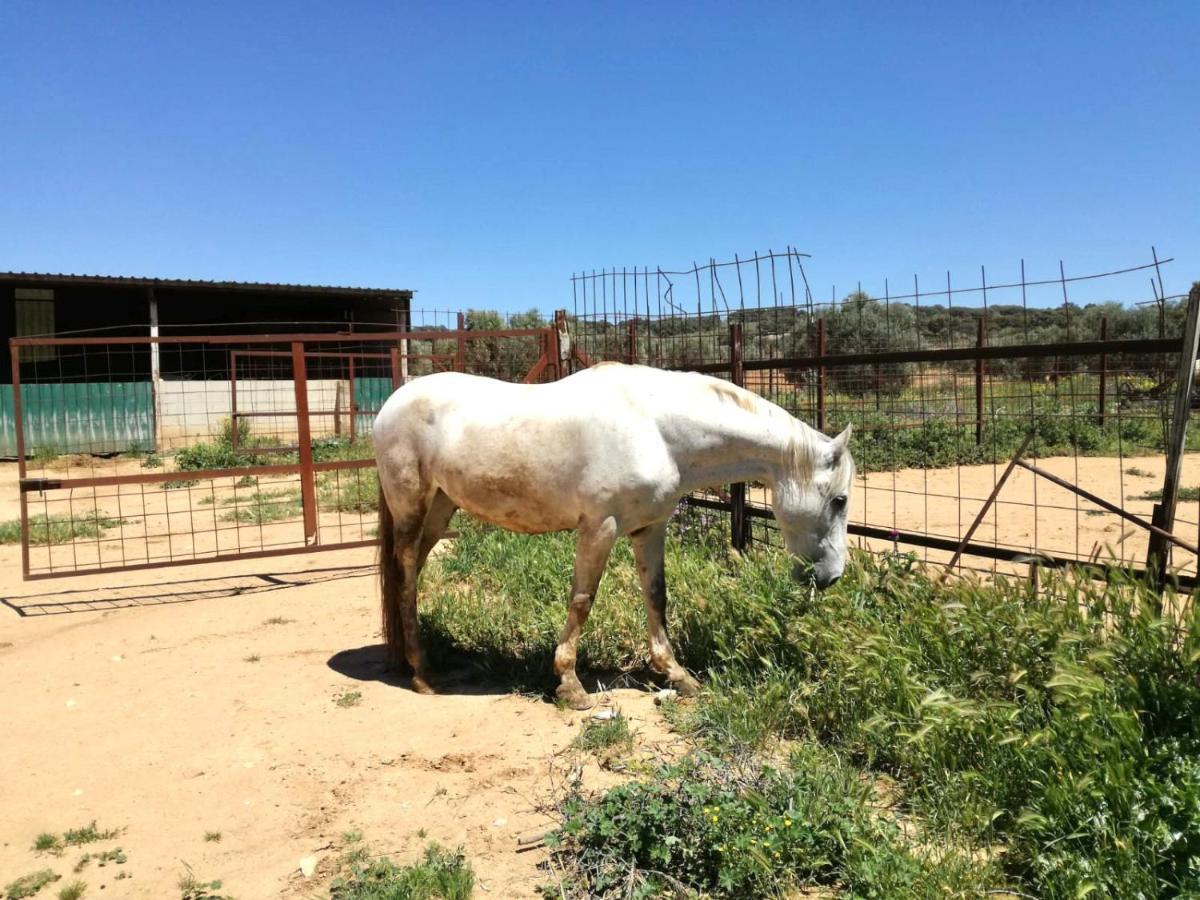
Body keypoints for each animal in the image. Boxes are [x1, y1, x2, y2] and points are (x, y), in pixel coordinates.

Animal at [374, 362, 854, 710]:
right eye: (840, 500)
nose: (831, 577)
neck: (657, 428)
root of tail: (391, 404)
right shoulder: (599, 528)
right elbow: (582, 600)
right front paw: (571, 686)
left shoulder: (649, 528)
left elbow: (657, 596)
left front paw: (677, 675)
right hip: (412, 506)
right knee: (406, 572)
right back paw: (421, 673)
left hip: (440, 508)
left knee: (411, 569)